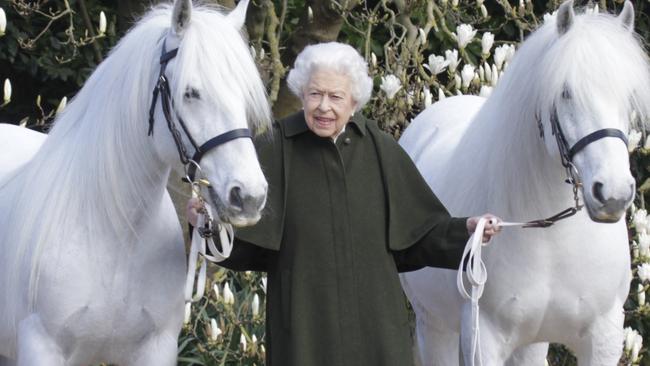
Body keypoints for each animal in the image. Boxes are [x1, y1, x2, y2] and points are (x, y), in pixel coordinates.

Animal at [0, 0, 270, 364]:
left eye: (243, 97)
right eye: (191, 93)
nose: (250, 196)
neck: (116, 234)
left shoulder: (154, 348)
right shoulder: (42, 347)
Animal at [400, 1, 648, 364]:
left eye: (628, 95)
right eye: (565, 92)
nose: (613, 194)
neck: (553, 238)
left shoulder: (604, 337)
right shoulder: (483, 338)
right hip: (434, 326)